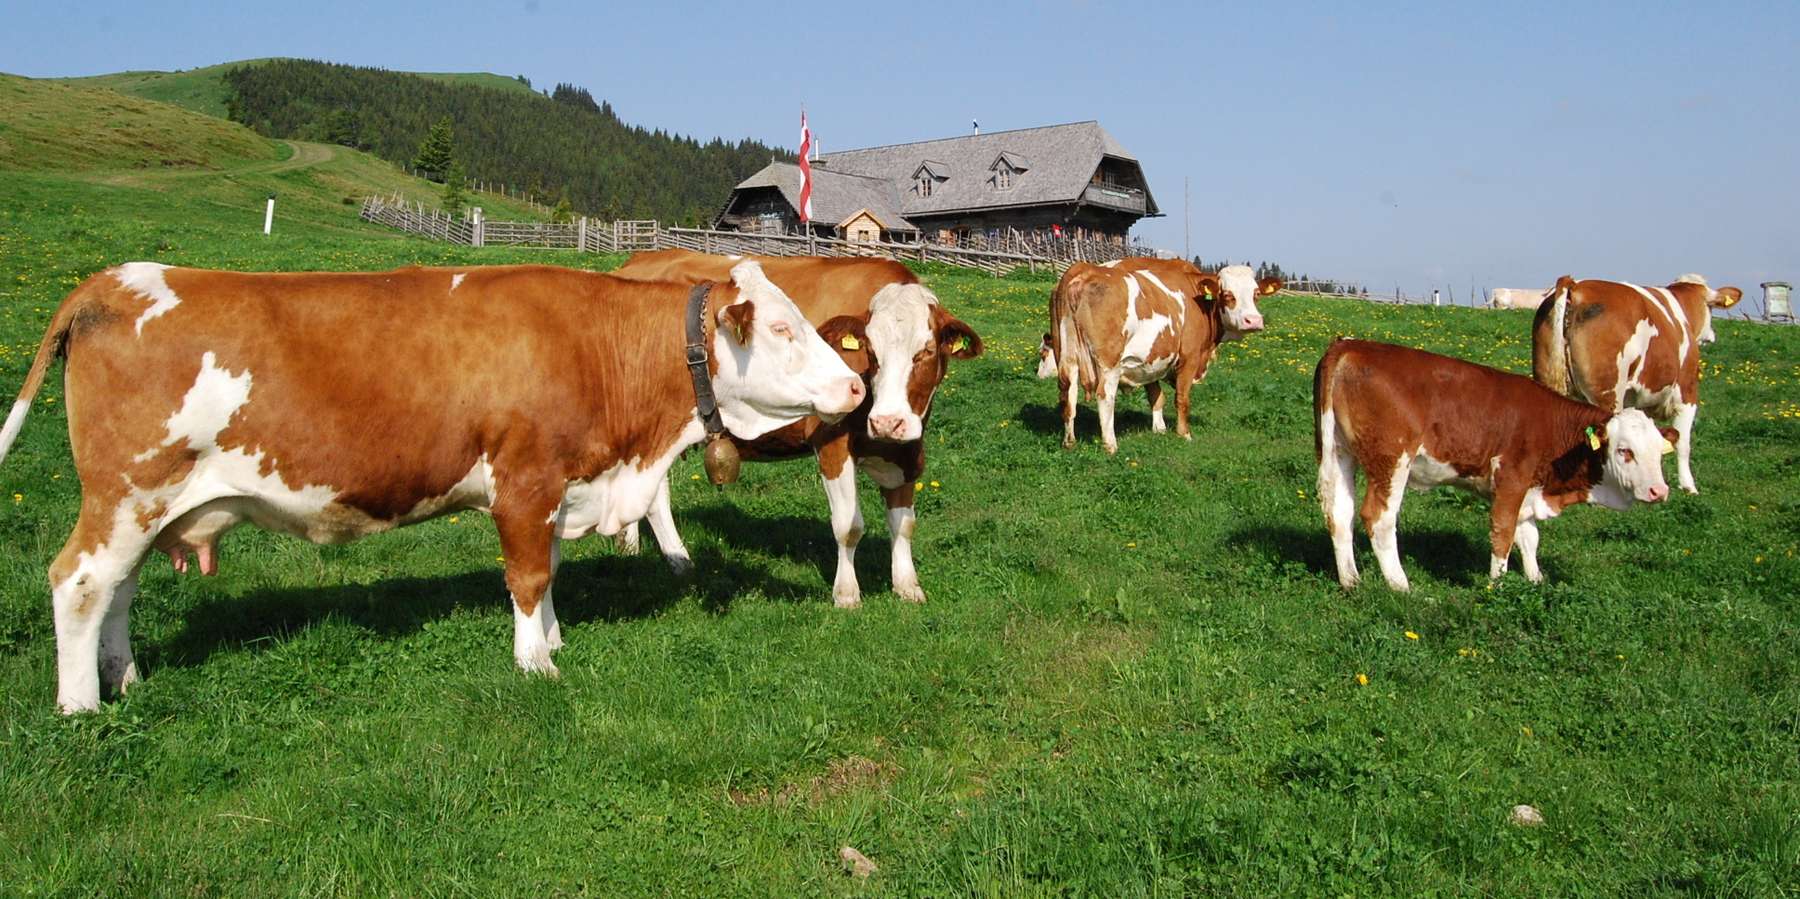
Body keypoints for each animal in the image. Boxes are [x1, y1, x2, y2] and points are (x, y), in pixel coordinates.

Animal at [0, 260, 864, 713]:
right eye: (783, 328)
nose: (857, 385)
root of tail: (117, 278)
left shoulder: (554, 484)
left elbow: (548, 569)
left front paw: (552, 637)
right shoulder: (523, 478)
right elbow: (527, 574)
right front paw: (536, 663)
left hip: (144, 506)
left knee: (120, 588)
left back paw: (126, 676)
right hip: (125, 491)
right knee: (80, 582)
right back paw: (81, 707)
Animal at [612, 249, 982, 608]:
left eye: (926, 352)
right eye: (872, 353)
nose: (886, 422)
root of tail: (638, 261)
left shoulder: (908, 449)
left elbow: (903, 524)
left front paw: (907, 586)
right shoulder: (832, 442)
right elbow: (848, 526)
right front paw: (846, 594)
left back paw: (632, 548)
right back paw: (677, 561)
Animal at [1041, 260, 1277, 454]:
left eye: (1256, 294)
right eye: (1227, 295)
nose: (1253, 320)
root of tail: (1082, 271)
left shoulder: (1150, 361)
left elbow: (1156, 396)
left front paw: (1160, 429)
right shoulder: (1189, 357)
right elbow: (1181, 399)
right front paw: (1184, 434)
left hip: (1067, 355)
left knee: (1067, 391)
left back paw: (1069, 441)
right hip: (1109, 363)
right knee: (1105, 396)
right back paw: (1111, 444)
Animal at [1314, 338, 1676, 592]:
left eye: (1660, 453)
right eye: (1625, 451)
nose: (1659, 491)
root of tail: (1350, 346)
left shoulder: (1529, 488)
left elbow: (1528, 536)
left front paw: (1535, 579)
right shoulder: (1512, 479)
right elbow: (1503, 532)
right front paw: (1497, 584)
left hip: (1337, 453)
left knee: (1340, 513)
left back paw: (1351, 581)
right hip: (1391, 462)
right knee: (1379, 518)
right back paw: (1401, 585)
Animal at [1531, 274, 1743, 494]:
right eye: (1710, 308)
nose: (1711, 336)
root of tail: (1576, 286)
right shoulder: (1687, 393)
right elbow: (1683, 443)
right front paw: (1688, 486)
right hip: (1608, 395)